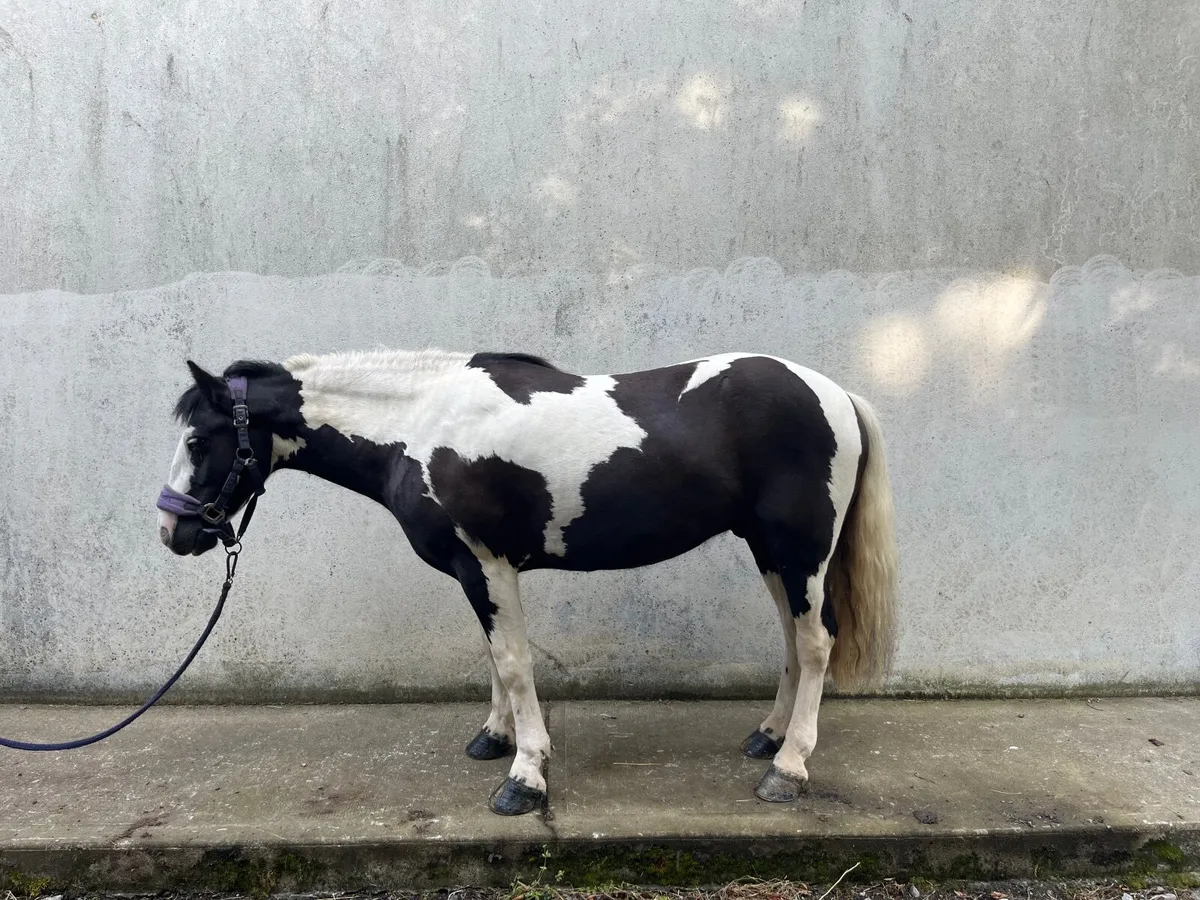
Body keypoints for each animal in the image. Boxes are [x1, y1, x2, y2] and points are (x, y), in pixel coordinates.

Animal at [156, 349, 898, 816]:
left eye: (197, 441)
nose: (172, 532)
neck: (419, 426)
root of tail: (834, 393)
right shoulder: (480, 570)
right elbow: (495, 659)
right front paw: (496, 738)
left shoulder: (485, 564)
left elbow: (513, 663)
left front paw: (526, 777)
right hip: (772, 552)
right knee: (792, 642)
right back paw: (768, 737)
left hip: (799, 550)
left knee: (815, 645)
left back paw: (788, 769)